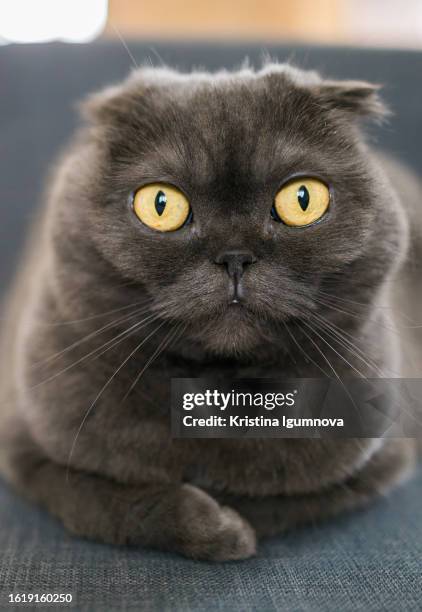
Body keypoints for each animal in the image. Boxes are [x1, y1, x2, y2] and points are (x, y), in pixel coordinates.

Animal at [0, 64, 420, 560]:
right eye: (160, 204)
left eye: (302, 199)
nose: (234, 256)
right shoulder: (24, 446)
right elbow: (102, 502)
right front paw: (216, 528)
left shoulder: (382, 455)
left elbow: (287, 496)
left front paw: (231, 521)